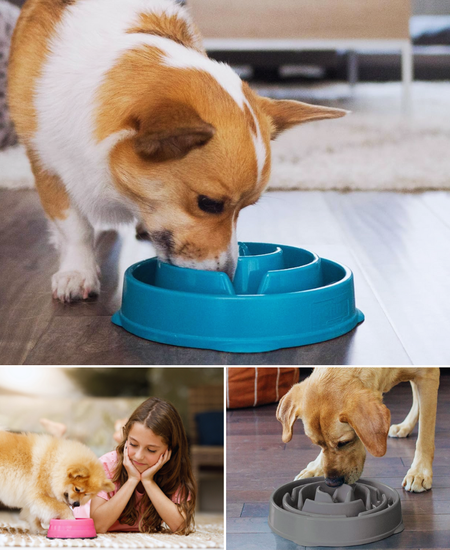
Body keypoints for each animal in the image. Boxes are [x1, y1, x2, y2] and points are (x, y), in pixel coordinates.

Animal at [6, 0, 344, 302]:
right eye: (209, 203)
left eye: (244, 209)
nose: (227, 275)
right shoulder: (47, 166)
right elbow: (75, 228)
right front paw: (77, 273)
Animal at [278, 370, 440, 496]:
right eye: (317, 444)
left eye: (345, 442)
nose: (332, 482)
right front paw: (315, 468)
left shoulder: (428, 376)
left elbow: (424, 435)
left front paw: (419, 472)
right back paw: (405, 426)